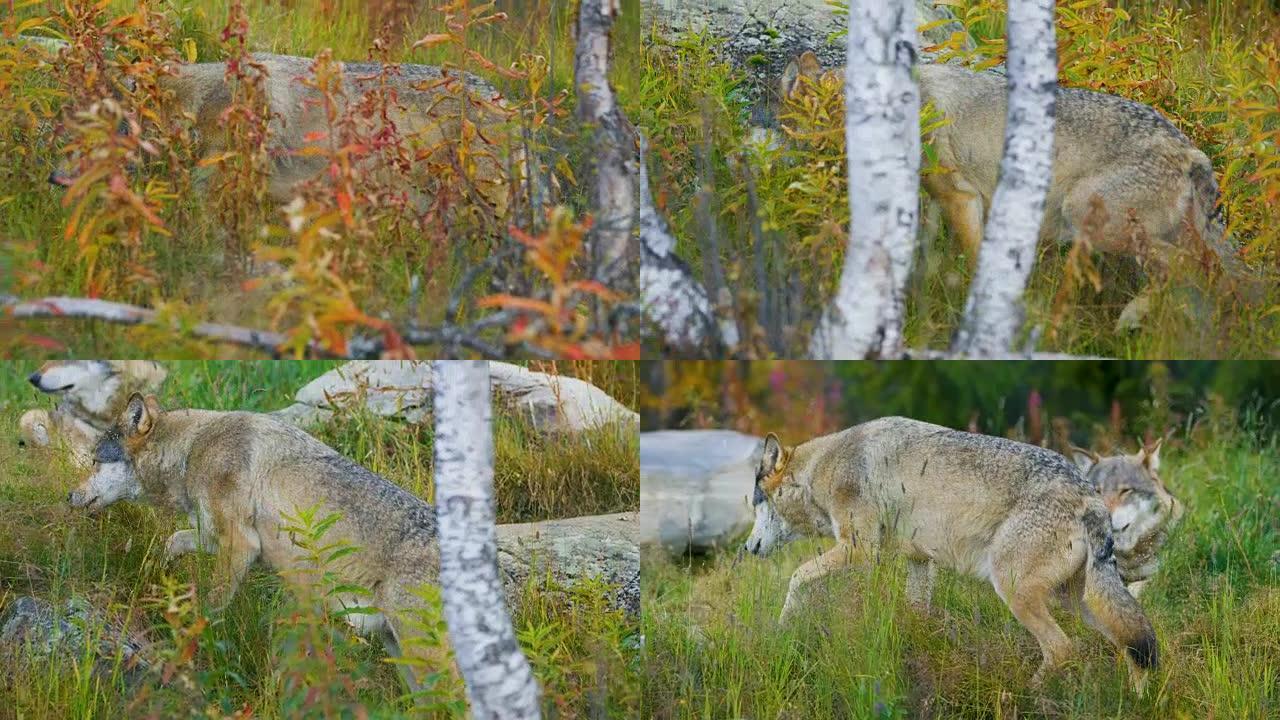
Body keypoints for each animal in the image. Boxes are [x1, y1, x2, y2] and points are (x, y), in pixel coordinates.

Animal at [70, 392, 453, 691]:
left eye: (94, 461)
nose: (69, 496)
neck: (192, 450)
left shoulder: (241, 545)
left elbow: (208, 609)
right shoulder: (216, 536)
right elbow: (173, 541)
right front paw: (156, 576)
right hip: (403, 658)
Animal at [742, 417, 1162, 686]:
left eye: (755, 502)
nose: (747, 547)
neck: (821, 469)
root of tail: (1089, 495)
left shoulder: (860, 550)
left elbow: (796, 576)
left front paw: (783, 624)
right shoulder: (918, 562)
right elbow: (915, 614)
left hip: (1017, 592)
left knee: (1063, 650)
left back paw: (1028, 694)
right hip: (1080, 601)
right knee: (1133, 645)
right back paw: (1137, 701)